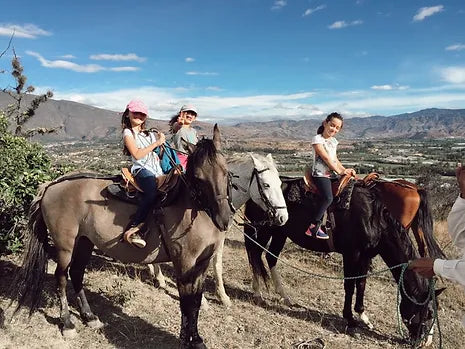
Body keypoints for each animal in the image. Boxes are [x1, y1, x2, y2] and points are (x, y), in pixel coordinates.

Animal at [13, 123, 232, 346]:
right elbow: (187, 304)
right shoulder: (184, 262)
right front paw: (187, 340)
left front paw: (196, 339)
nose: (223, 218)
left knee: (77, 273)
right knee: (61, 277)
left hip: (84, 242)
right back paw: (67, 323)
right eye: (198, 178)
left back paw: (89, 317)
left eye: (226, 172)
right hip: (65, 245)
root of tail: (52, 185)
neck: (189, 205)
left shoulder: (202, 263)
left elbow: (195, 302)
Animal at [149, 152, 286, 304]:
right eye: (266, 185)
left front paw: (222, 296)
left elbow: (217, 265)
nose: (283, 217)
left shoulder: (219, 238)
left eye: (280, 183)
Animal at [243, 175, 442, 344]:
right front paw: (349, 318)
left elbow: (361, 284)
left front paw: (363, 317)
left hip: (280, 233)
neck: (373, 218)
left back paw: (284, 296)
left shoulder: (365, 256)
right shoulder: (351, 254)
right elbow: (349, 285)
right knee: (254, 254)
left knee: (270, 258)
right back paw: (258, 293)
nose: (424, 342)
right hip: (262, 230)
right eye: (428, 313)